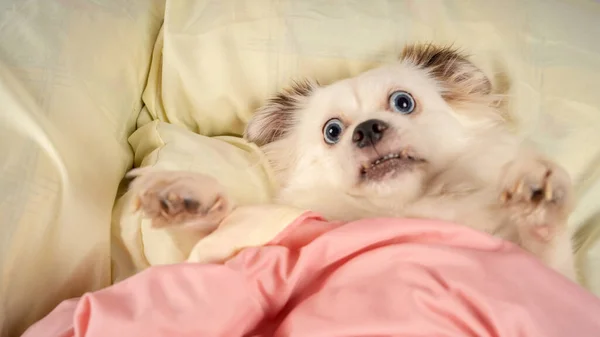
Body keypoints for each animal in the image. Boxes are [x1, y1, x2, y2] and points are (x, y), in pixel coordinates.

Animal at [130, 43, 576, 280]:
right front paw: (187, 199)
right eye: (332, 131)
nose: (367, 130)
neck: (406, 209)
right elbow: (211, 239)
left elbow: (547, 245)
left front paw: (537, 193)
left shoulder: (546, 272)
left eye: (403, 102)